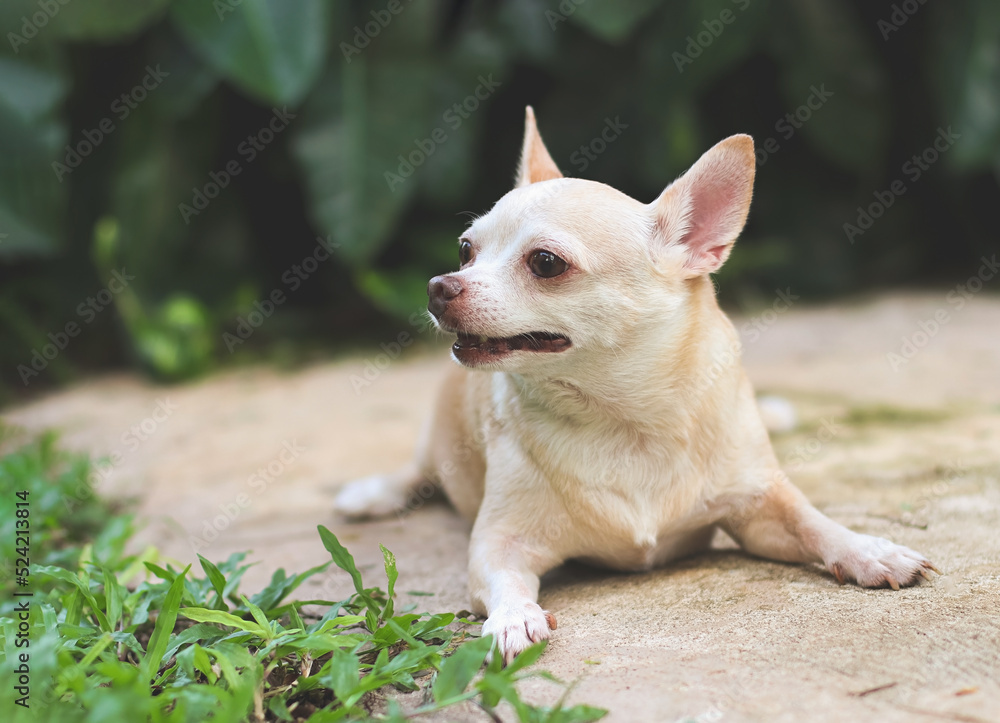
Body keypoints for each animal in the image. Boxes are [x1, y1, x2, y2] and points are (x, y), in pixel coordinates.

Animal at [338, 106, 936, 660]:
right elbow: (503, 580)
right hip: (437, 444)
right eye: (466, 250)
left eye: (546, 262)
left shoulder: (761, 507)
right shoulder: (500, 543)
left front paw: (870, 550)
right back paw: (373, 493)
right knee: (416, 471)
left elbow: (815, 523)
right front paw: (511, 618)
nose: (439, 285)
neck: (624, 420)